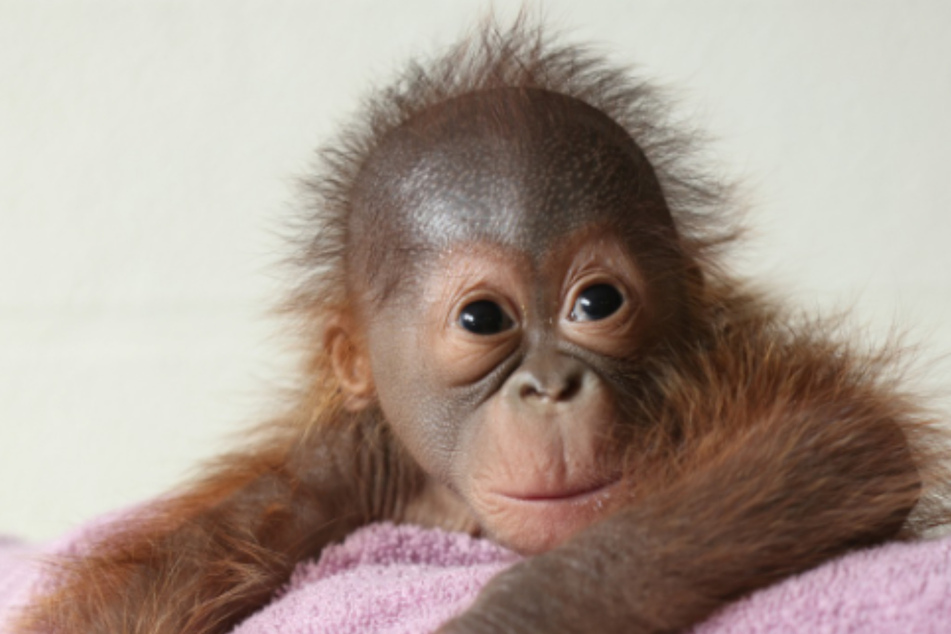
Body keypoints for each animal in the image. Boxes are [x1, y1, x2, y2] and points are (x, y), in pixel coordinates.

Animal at [14, 18, 951, 634]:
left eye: (596, 305)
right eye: (481, 320)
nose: (549, 386)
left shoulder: (719, 360)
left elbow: (834, 436)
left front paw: (512, 619)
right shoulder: (344, 461)